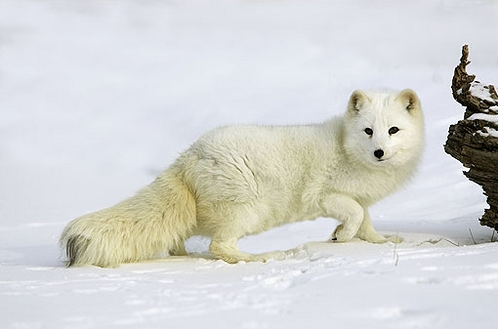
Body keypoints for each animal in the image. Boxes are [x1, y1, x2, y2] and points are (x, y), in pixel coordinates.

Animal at [59, 88, 424, 266]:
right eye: (368, 131)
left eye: (393, 130)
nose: (379, 152)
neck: (347, 147)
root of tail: (188, 156)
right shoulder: (325, 196)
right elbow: (354, 214)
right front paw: (340, 236)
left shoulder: (361, 198)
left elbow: (366, 221)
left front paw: (380, 242)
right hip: (245, 210)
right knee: (219, 246)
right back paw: (258, 258)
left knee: (178, 237)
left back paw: (186, 256)